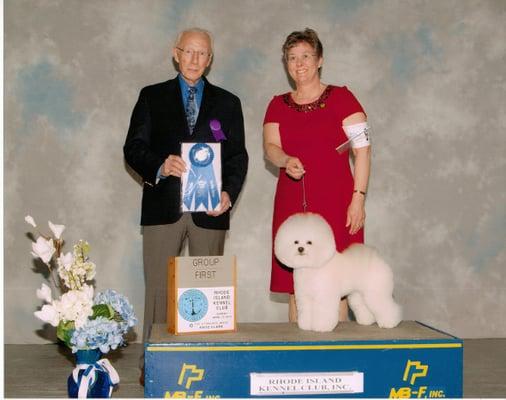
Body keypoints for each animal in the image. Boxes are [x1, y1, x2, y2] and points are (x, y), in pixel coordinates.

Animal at [274, 212, 402, 332]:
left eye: (309, 242)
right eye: (295, 242)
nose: (300, 249)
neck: (311, 266)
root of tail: (377, 259)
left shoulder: (324, 295)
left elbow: (323, 312)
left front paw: (322, 327)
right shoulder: (305, 297)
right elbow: (306, 311)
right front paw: (306, 326)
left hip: (376, 291)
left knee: (387, 306)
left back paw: (390, 323)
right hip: (359, 294)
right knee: (363, 306)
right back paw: (367, 321)